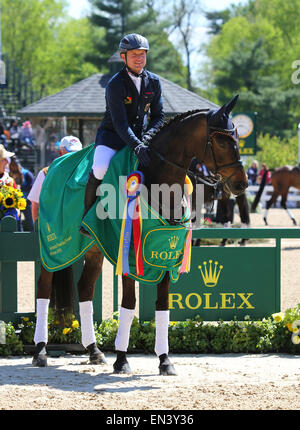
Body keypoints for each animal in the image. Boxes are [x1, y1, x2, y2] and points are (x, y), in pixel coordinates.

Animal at [34, 95, 247, 374]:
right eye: (222, 141)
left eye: (238, 137)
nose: (241, 184)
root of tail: (51, 166)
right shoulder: (128, 255)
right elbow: (128, 302)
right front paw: (122, 360)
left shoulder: (166, 254)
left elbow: (162, 305)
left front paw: (164, 360)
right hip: (53, 246)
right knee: (44, 288)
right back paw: (40, 351)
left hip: (94, 249)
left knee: (85, 289)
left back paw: (94, 351)